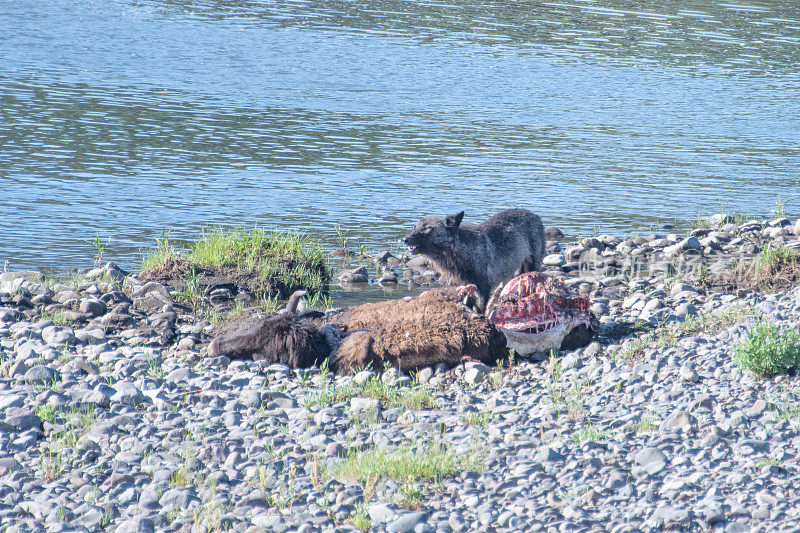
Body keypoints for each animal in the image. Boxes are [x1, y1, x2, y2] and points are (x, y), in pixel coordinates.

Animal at [404, 208, 548, 300]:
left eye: (426, 228)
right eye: (414, 227)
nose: (405, 239)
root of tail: (536, 216)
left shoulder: (484, 287)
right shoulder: (464, 286)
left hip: (533, 265)